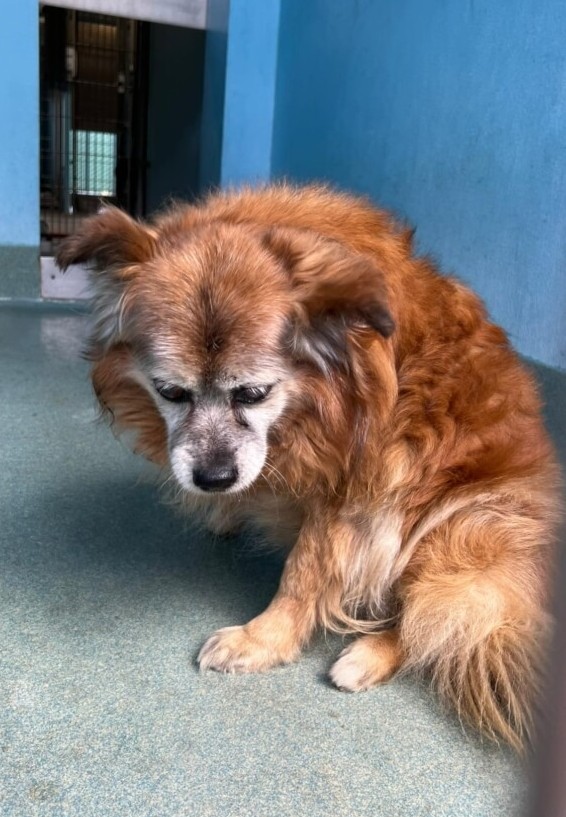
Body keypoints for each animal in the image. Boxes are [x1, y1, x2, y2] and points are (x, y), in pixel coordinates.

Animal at [57, 184, 561, 752]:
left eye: (255, 393)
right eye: (170, 392)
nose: (214, 478)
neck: (319, 395)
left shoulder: (355, 490)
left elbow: (304, 573)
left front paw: (262, 639)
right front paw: (224, 512)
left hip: (460, 530)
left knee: (441, 620)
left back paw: (368, 655)